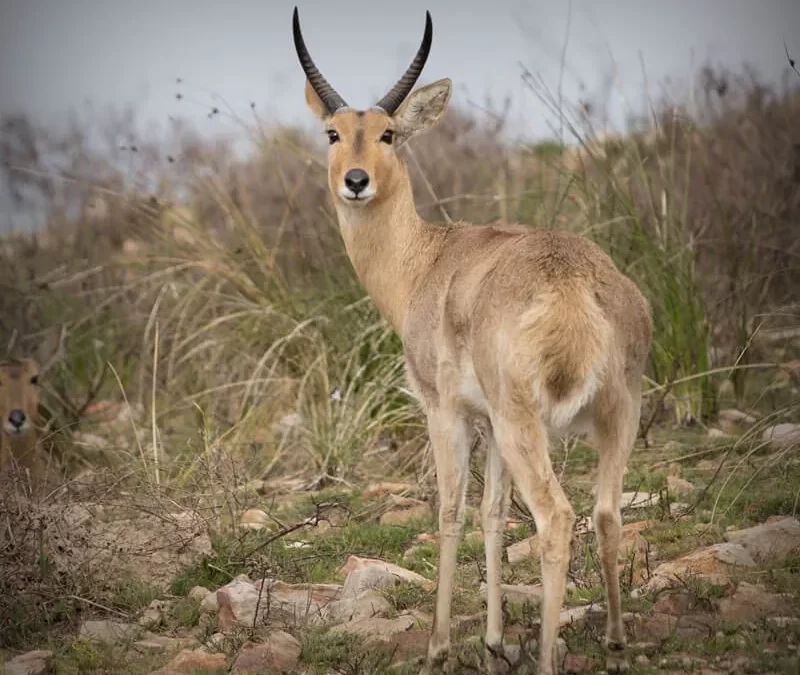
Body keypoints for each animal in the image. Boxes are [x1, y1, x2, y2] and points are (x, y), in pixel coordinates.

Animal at [290, 7, 652, 672]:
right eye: (332, 132)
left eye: (388, 133)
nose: (355, 181)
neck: (426, 262)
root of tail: (575, 284)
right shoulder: (487, 426)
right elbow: (491, 514)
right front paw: (491, 639)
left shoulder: (445, 411)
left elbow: (452, 510)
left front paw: (439, 644)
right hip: (619, 414)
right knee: (606, 512)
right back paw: (614, 638)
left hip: (525, 424)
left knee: (557, 518)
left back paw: (547, 656)